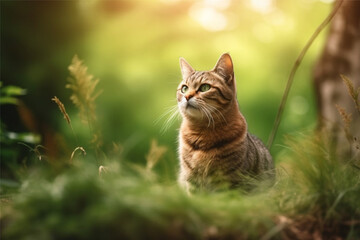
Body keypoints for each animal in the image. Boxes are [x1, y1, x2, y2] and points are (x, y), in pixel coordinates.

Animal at [178, 53, 276, 192]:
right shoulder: (192, 182)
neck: (202, 132)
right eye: (184, 89)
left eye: (205, 87)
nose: (187, 96)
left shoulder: (230, 182)